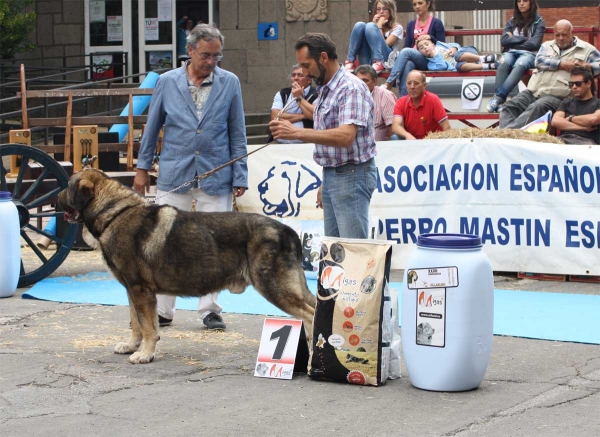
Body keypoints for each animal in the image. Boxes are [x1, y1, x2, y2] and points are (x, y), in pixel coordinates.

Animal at [58, 169, 316, 362]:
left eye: (68, 187)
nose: (55, 198)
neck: (115, 212)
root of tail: (287, 230)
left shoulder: (140, 290)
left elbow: (148, 327)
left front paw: (145, 354)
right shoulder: (132, 290)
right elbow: (137, 324)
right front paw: (133, 346)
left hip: (274, 287)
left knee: (310, 315)